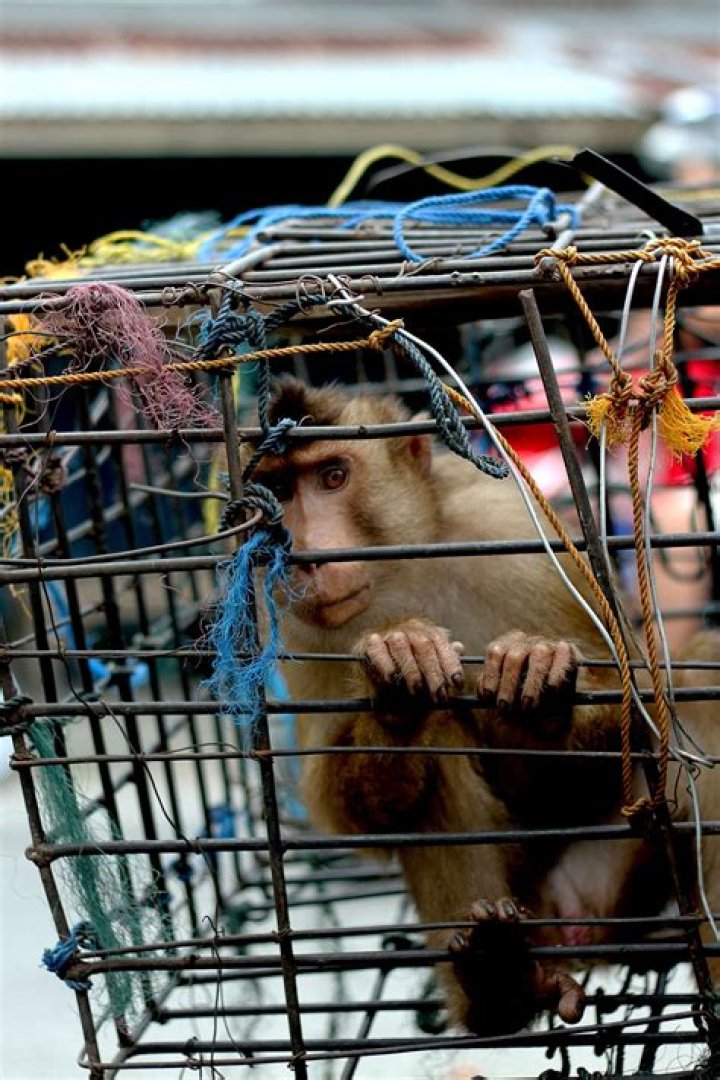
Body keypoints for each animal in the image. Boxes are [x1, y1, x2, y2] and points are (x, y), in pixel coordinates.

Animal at [244, 376, 720, 1038]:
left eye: (332, 477)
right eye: (280, 494)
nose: (307, 554)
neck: (403, 569)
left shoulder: (508, 530)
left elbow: (635, 713)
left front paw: (536, 682)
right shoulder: (287, 619)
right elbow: (354, 818)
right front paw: (400, 674)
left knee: (703, 713)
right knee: (437, 739)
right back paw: (498, 983)